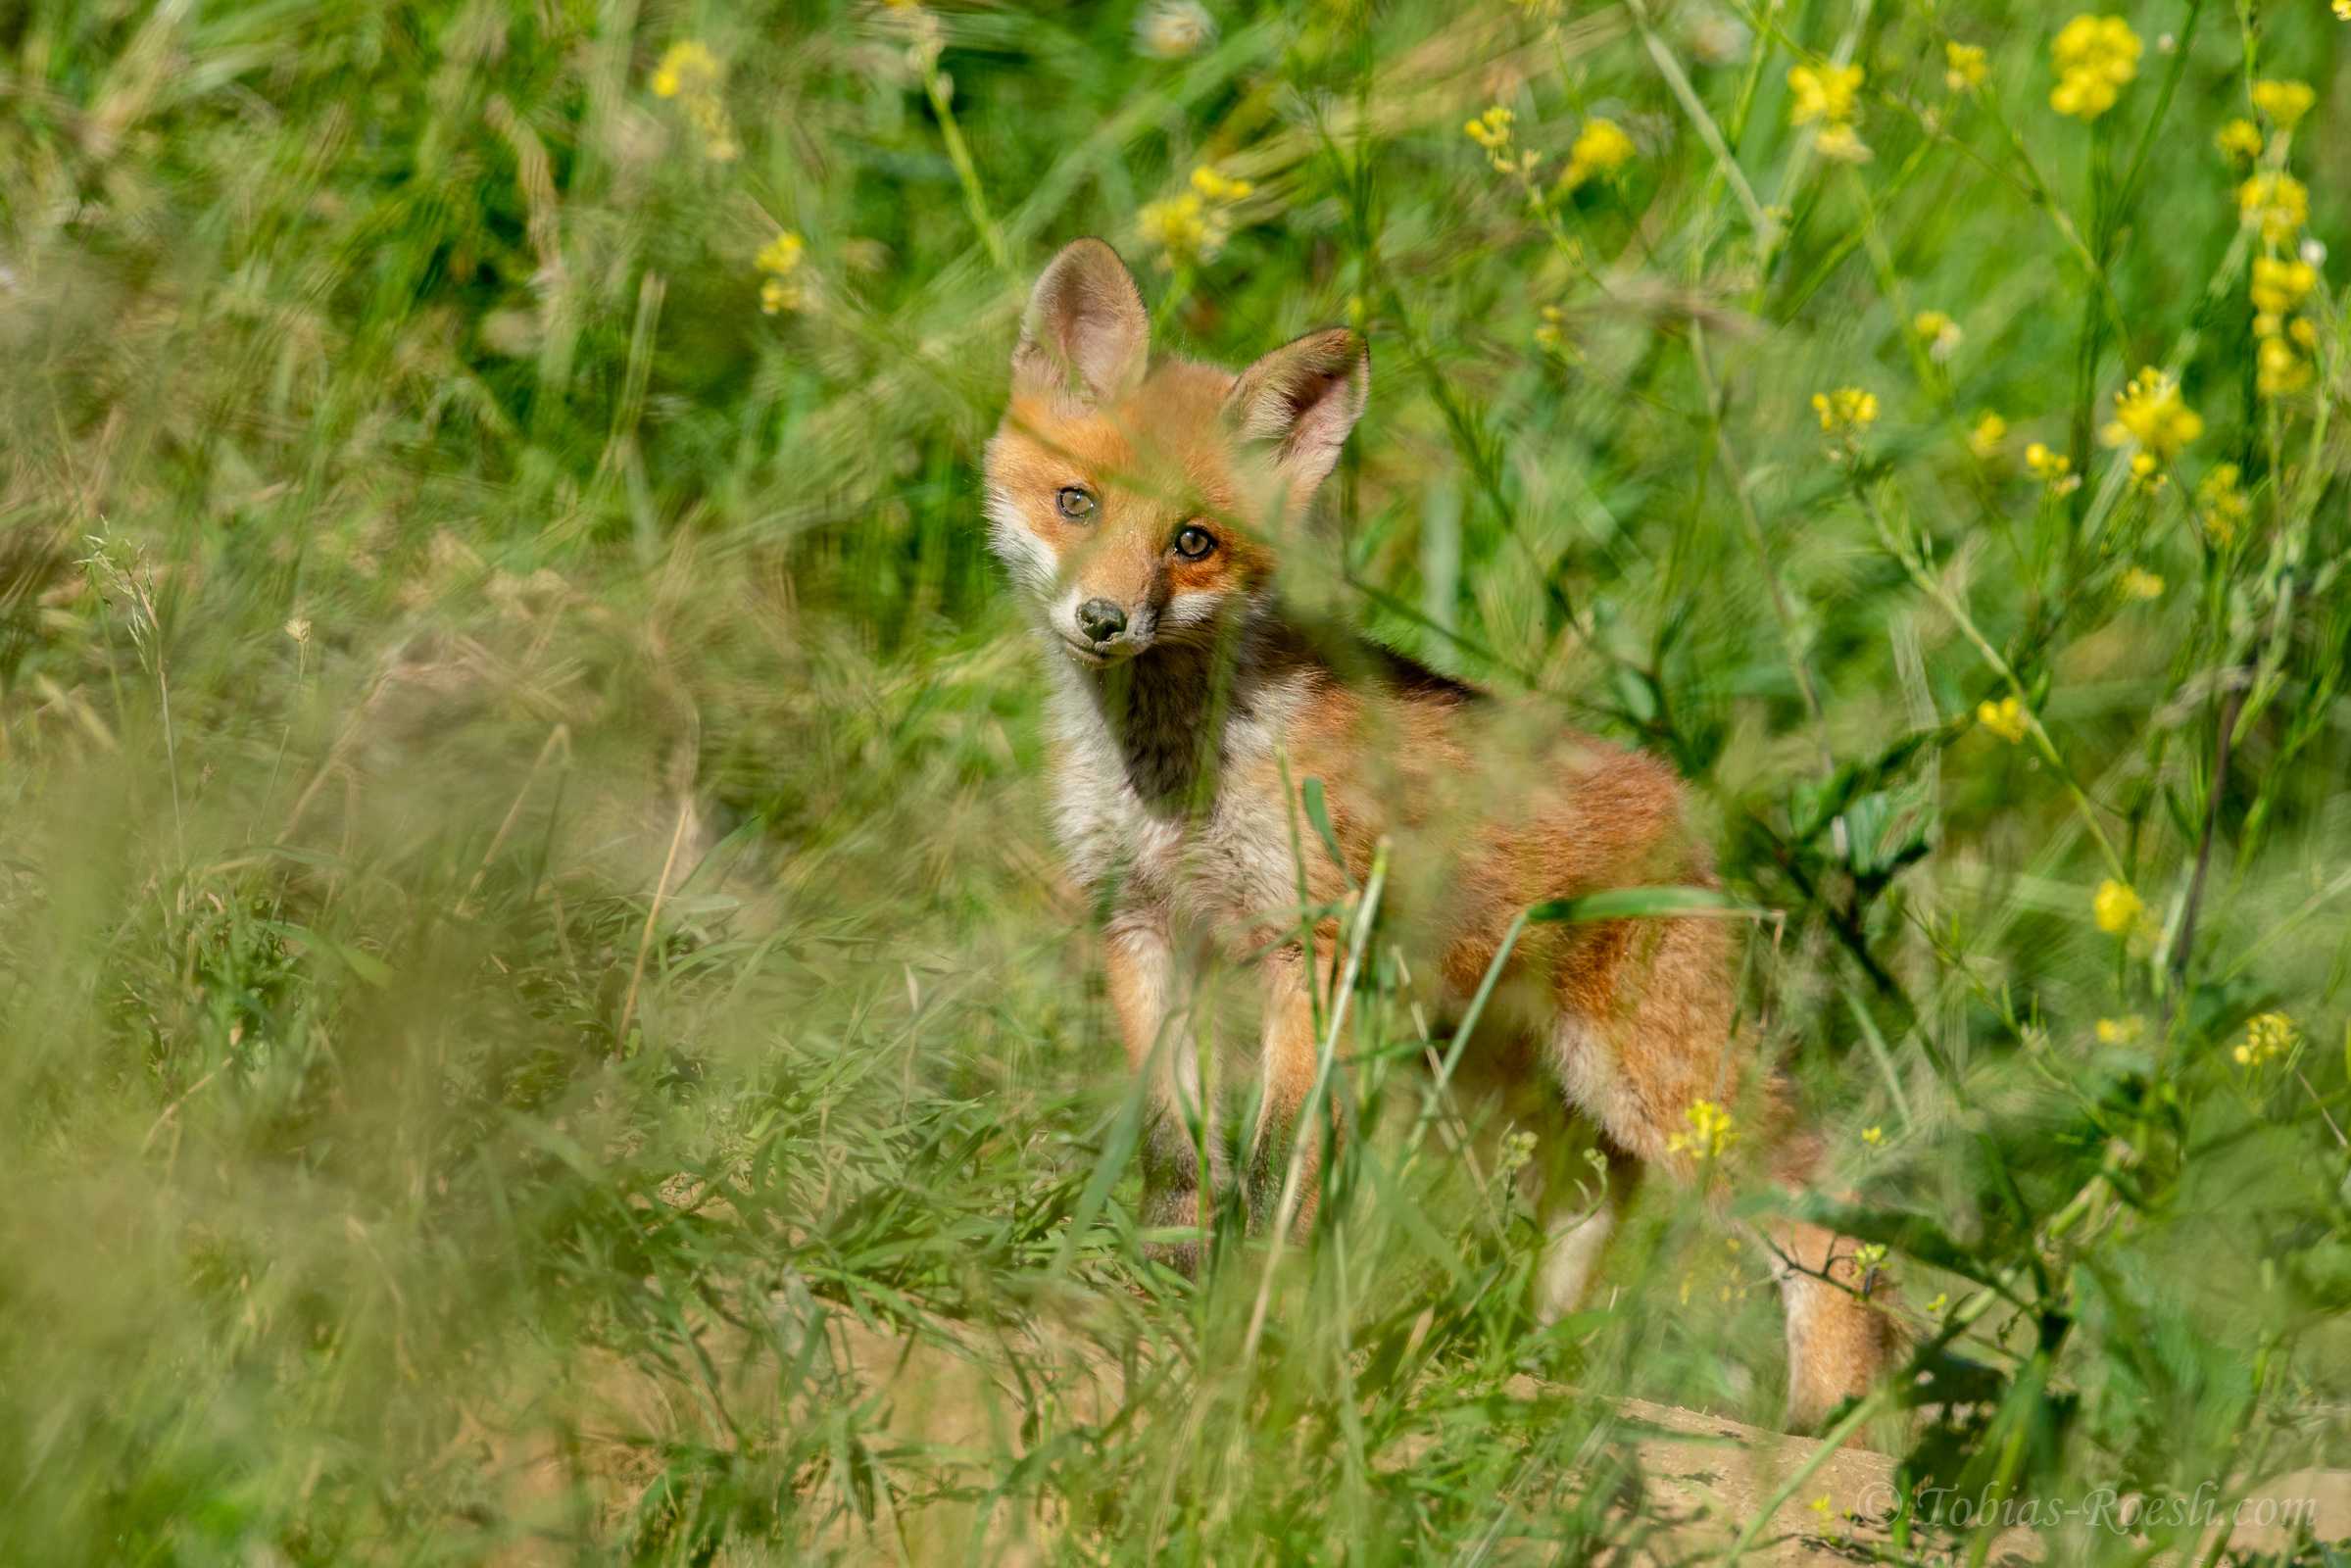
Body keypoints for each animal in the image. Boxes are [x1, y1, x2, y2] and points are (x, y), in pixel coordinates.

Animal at [982, 236, 1899, 1439]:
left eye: (1192, 543)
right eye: (1075, 502)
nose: (1102, 621)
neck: (1171, 775)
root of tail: (1686, 802)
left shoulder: (1309, 950)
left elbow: (1278, 1170)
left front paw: (1258, 1315)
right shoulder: (1137, 925)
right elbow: (1177, 1150)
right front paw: (1169, 1285)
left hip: (1651, 1085)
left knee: (1823, 1207)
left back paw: (1828, 1421)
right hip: (1495, 1066)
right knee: (1597, 1188)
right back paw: (1534, 1354)